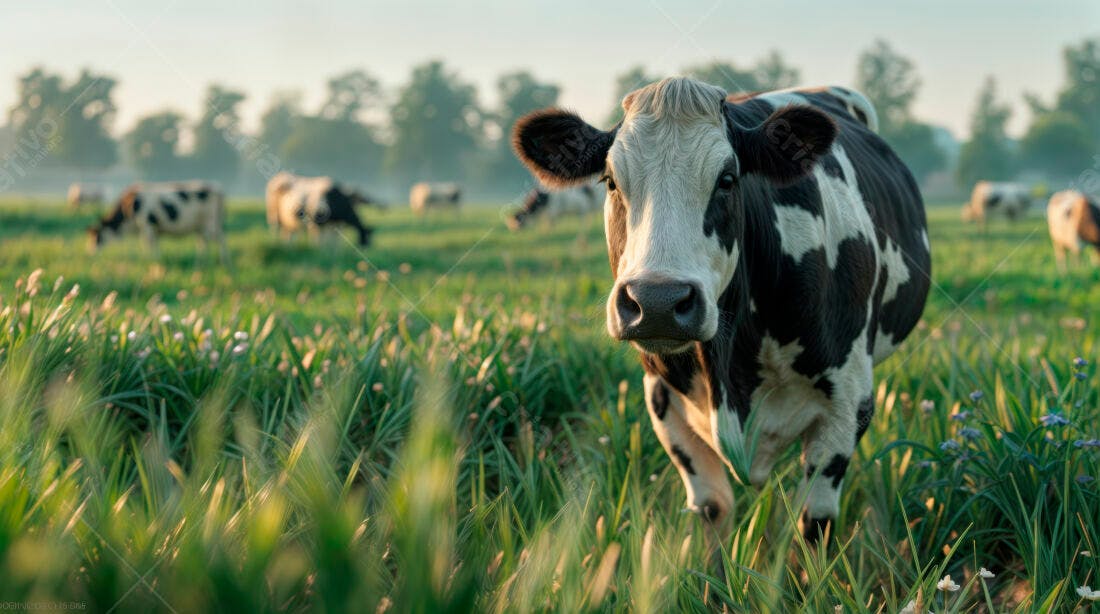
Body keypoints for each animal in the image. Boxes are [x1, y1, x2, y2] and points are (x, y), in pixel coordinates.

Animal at [87, 181, 227, 262]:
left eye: (96, 236)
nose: (90, 252)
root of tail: (217, 190)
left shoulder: (147, 225)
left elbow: (148, 243)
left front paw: (151, 259)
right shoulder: (154, 229)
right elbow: (154, 244)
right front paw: (155, 258)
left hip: (210, 223)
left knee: (217, 240)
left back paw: (218, 260)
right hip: (204, 225)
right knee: (205, 241)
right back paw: (204, 259)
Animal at [512, 78, 931, 545]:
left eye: (727, 180)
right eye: (611, 181)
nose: (657, 302)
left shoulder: (848, 401)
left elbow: (814, 522)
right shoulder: (662, 398)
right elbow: (713, 508)